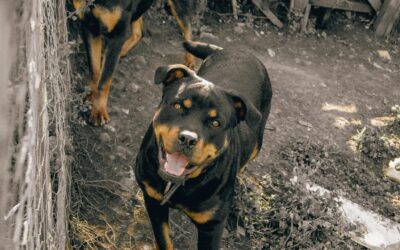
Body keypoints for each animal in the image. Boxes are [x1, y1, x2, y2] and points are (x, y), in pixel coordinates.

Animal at [70, 0, 202, 125]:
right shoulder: (89, 26)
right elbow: (95, 71)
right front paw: (90, 97)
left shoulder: (117, 33)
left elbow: (104, 80)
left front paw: (99, 112)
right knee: (139, 32)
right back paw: (123, 50)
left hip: (179, 6)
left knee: (188, 28)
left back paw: (190, 60)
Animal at [136, 41, 274, 250]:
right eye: (177, 105)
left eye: (216, 123)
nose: (188, 138)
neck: (179, 184)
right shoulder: (152, 200)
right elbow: (164, 240)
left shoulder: (212, 226)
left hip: (258, 139)